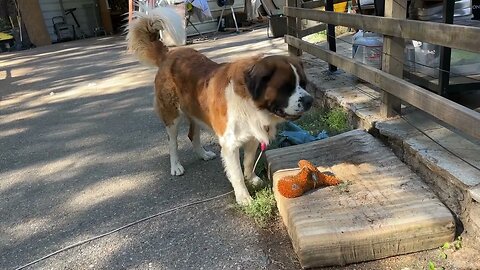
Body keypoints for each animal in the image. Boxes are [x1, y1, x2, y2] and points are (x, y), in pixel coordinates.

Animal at [127, 5, 314, 205]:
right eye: (286, 88)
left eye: (303, 84)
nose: (309, 100)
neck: (249, 102)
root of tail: (169, 54)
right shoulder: (230, 145)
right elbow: (236, 174)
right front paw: (244, 196)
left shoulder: (252, 136)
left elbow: (248, 161)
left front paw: (252, 179)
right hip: (172, 115)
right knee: (173, 142)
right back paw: (176, 165)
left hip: (196, 110)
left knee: (192, 135)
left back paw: (203, 154)